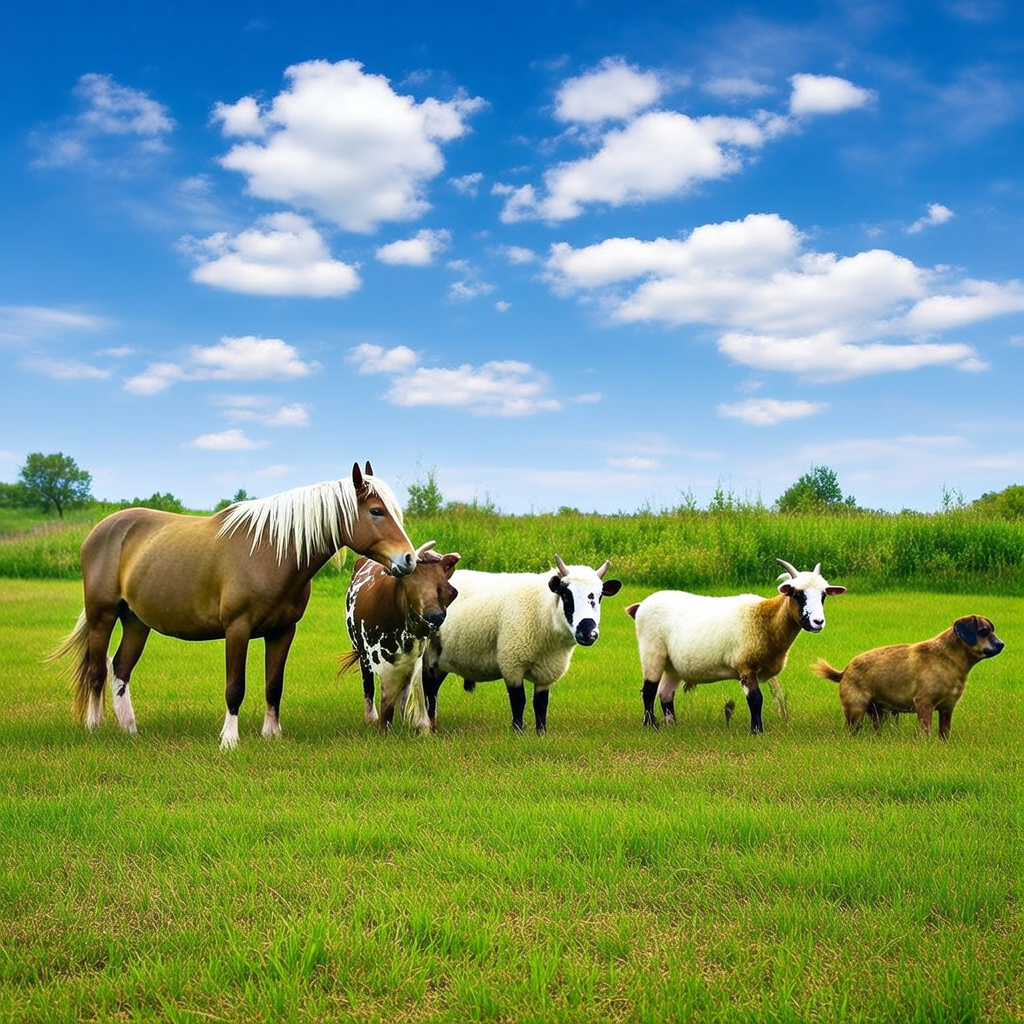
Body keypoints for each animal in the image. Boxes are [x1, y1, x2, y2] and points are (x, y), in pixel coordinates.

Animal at [51, 461, 416, 748]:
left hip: (136, 622)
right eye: (376, 511)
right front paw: (229, 739)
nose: (409, 559)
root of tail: (101, 529)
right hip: (103, 616)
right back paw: (94, 727)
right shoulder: (237, 630)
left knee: (121, 668)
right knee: (97, 670)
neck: (271, 552)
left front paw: (272, 734)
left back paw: (129, 729)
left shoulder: (283, 631)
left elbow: (274, 684)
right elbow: (235, 687)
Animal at [339, 540, 460, 734]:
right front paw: (383, 729)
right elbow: (383, 696)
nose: (435, 617)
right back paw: (371, 718)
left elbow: (415, 692)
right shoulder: (374, 657)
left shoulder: (418, 660)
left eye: (451, 592)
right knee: (369, 685)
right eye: (409, 587)